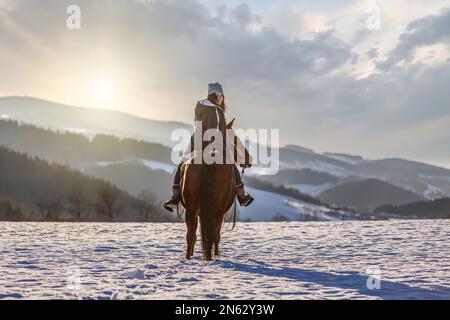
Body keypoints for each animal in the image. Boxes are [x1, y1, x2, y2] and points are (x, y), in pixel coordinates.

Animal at [178, 120, 250, 260]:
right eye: (235, 139)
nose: (249, 158)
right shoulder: (219, 212)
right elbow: (217, 235)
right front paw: (216, 254)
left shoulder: (198, 212)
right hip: (217, 211)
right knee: (212, 235)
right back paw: (210, 258)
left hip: (191, 209)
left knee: (191, 235)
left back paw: (189, 258)